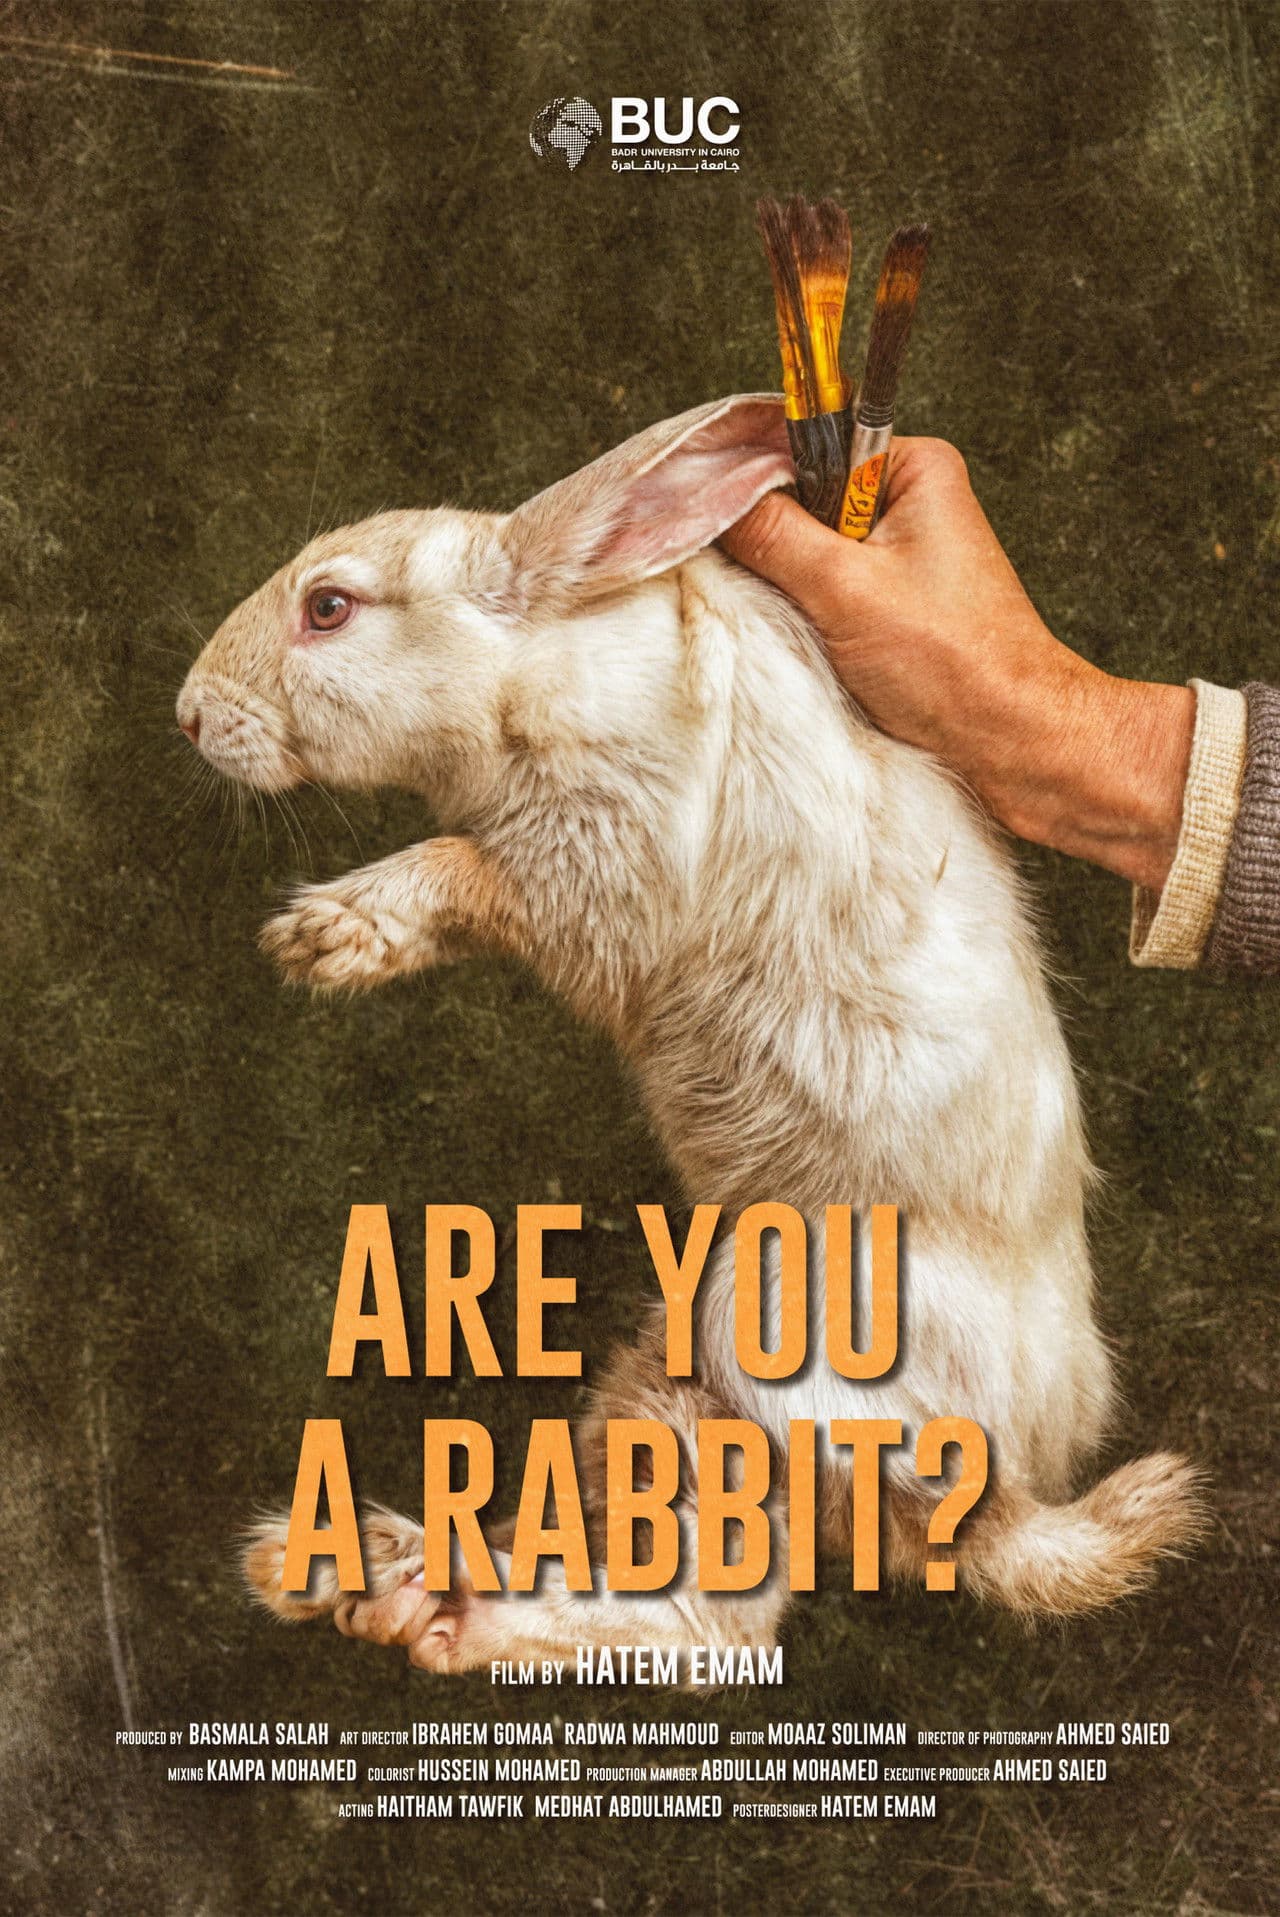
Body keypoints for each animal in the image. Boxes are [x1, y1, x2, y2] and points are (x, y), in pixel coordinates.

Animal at [177, 394, 1203, 1680]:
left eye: (328, 606)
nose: (189, 715)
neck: (530, 665)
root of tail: (1007, 1507)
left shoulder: (590, 866)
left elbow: (465, 874)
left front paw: (326, 936)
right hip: (667, 1380)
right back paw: (358, 1570)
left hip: (762, 1322)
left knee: (717, 1618)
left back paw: (411, 1598)